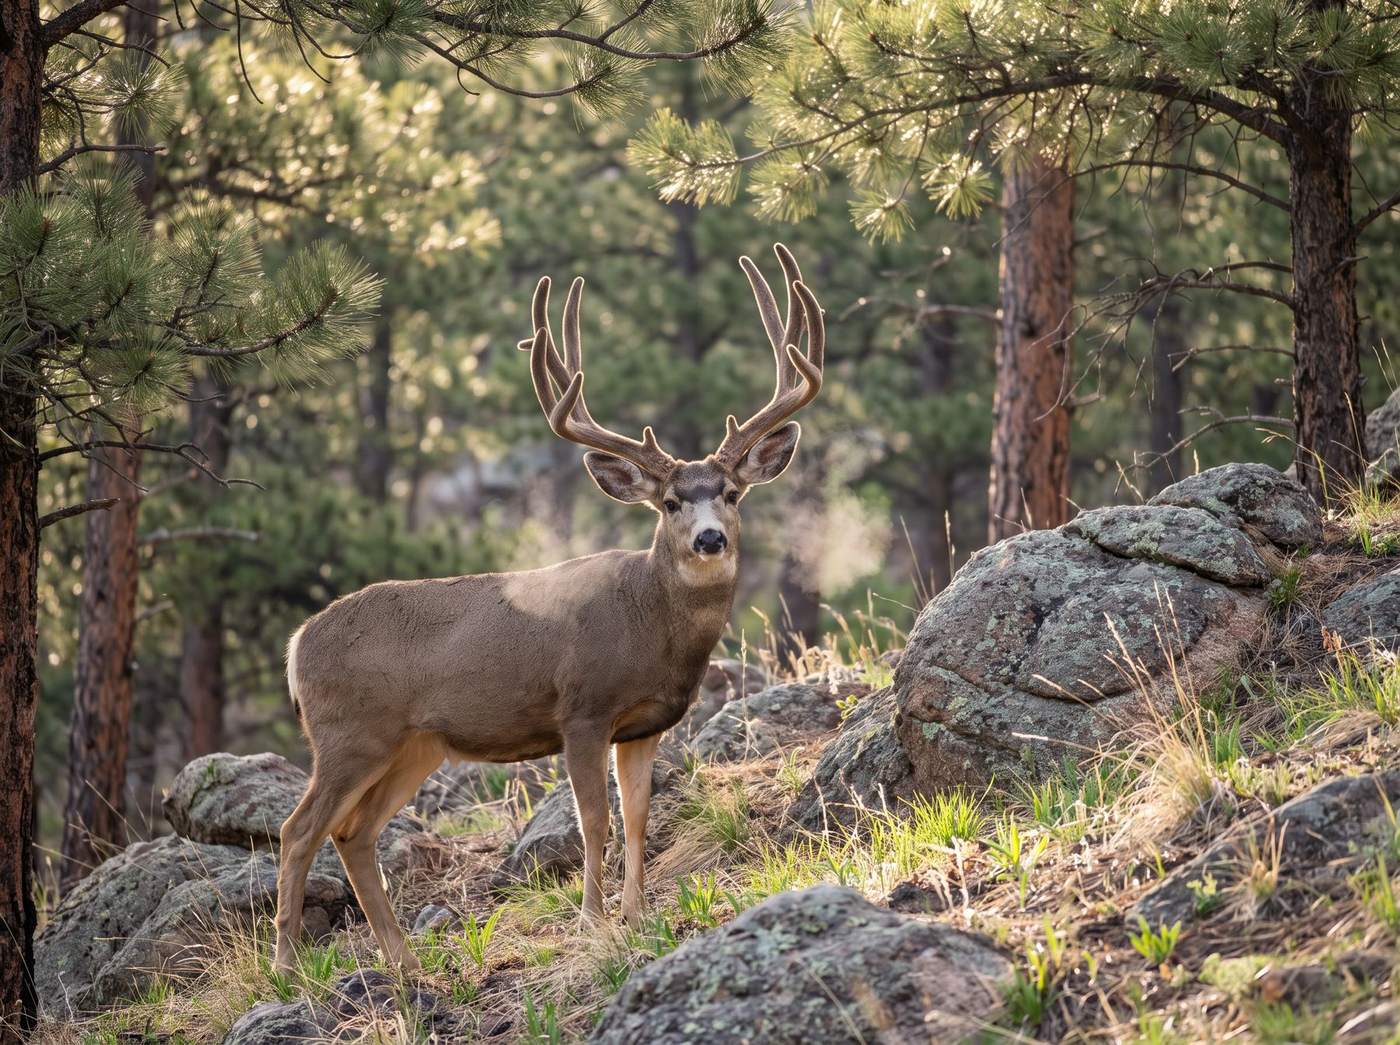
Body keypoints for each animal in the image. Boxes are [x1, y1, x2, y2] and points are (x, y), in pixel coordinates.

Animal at [273, 244, 824, 974]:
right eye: (670, 501)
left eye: (732, 493)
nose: (711, 539)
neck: (649, 623)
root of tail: (296, 644)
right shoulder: (582, 708)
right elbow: (596, 819)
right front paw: (593, 921)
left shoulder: (643, 725)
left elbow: (638, 815)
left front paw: (636, 914)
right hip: (348, 730)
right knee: (298, 828)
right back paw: (285, 965)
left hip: (414, 743)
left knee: (353, 831)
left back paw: (405, 960)